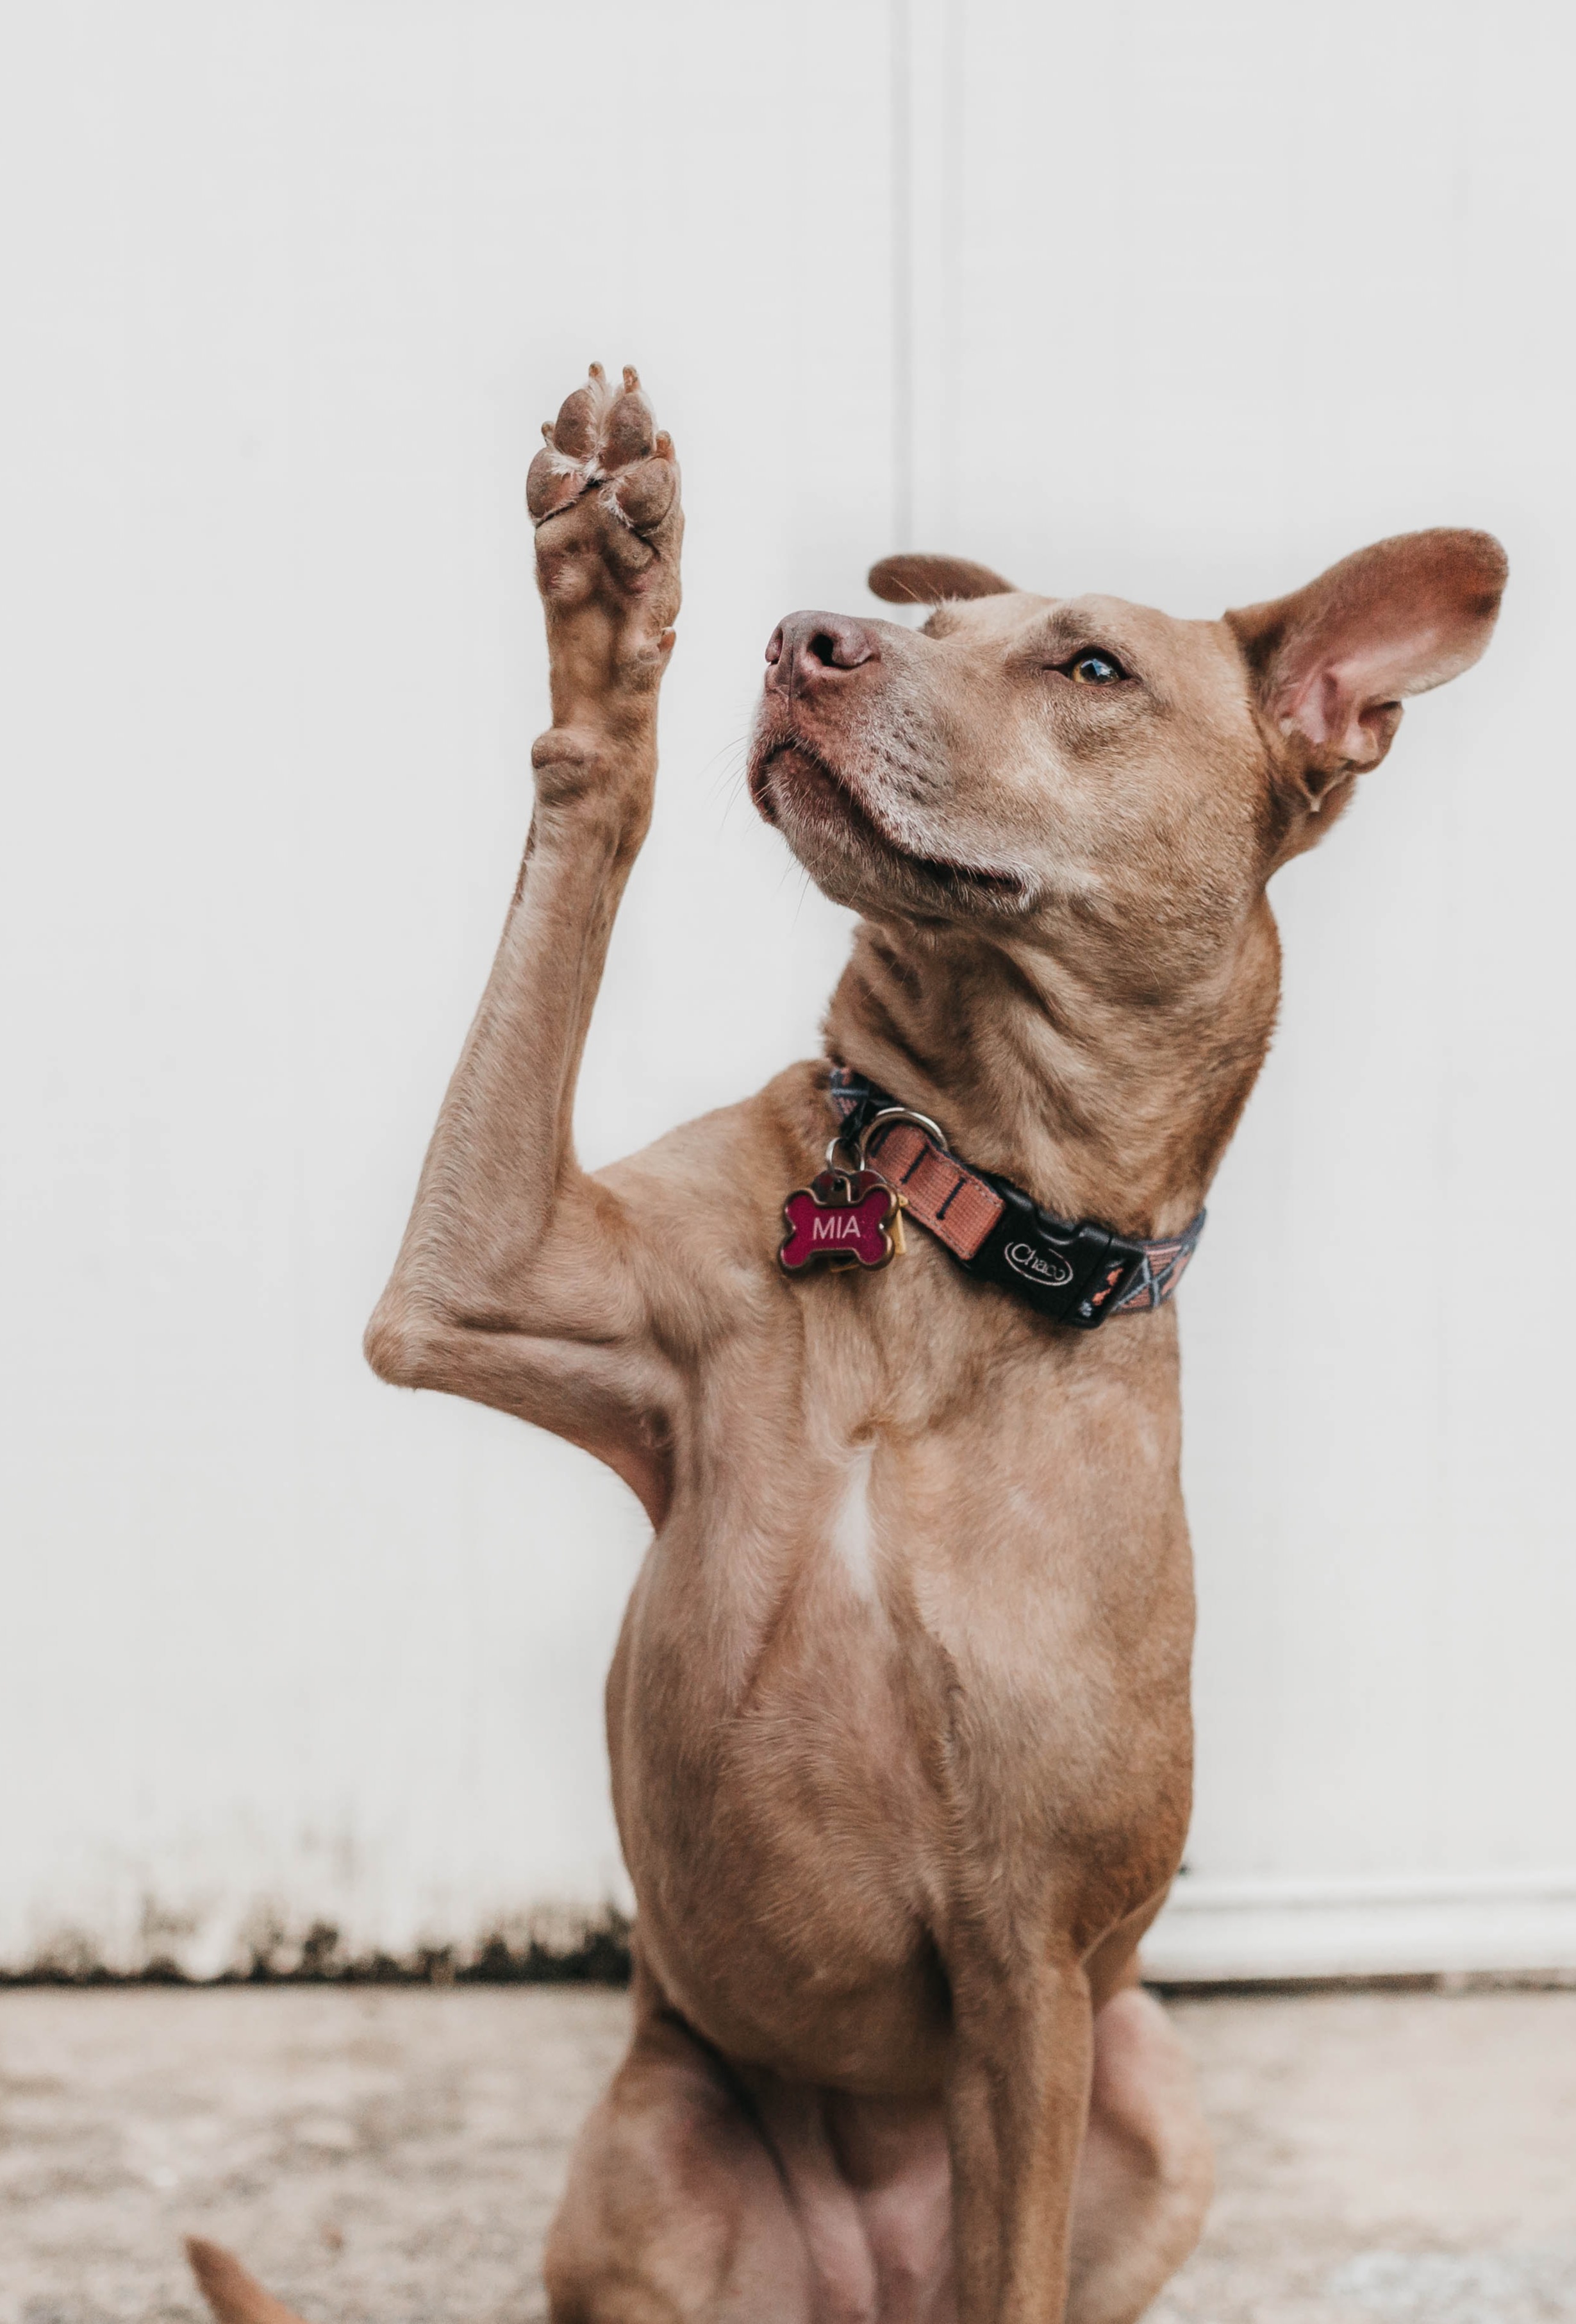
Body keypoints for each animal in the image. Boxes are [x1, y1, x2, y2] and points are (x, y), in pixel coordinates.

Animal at [188, 367, 1506, 2324]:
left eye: (1089, 665)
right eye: (932, 628)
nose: (807, 637)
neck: (950, 1219)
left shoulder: (1029, 1966)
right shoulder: (470, 1274)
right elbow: (582, 825)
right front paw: (609, 609)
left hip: (1149, 2085)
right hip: (652, 2148)